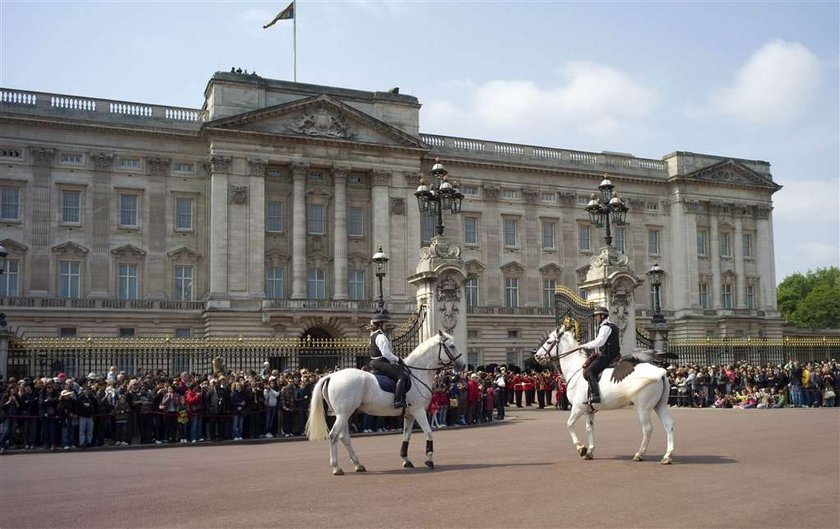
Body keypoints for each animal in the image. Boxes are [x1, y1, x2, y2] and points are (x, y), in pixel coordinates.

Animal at [306, 330, 462, 474]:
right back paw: (336, 467)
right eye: (452, 346)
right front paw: (429, 460)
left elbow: (406, 436)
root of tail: (331, 376)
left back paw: (358, 464)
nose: (462, 364)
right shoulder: (419, 411)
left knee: (344, 437)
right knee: (333, 435)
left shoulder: (409, 414)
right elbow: (429, 433)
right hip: (344, 414)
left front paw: (406, 460)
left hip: (344, 414)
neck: (417, 374)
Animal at [540, 324, 676, 464]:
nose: (537, 356)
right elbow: (589, 428)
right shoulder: (588, 409)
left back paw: (640, 454)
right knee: (668, 425)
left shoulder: (578, 408)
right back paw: (667, 456)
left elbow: (569, 424)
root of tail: (660, 371)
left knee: (647, 429)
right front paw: (589, 451)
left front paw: (581, 448)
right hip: (659, 405)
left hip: (643, 408)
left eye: (548, 342)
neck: (576, 370)